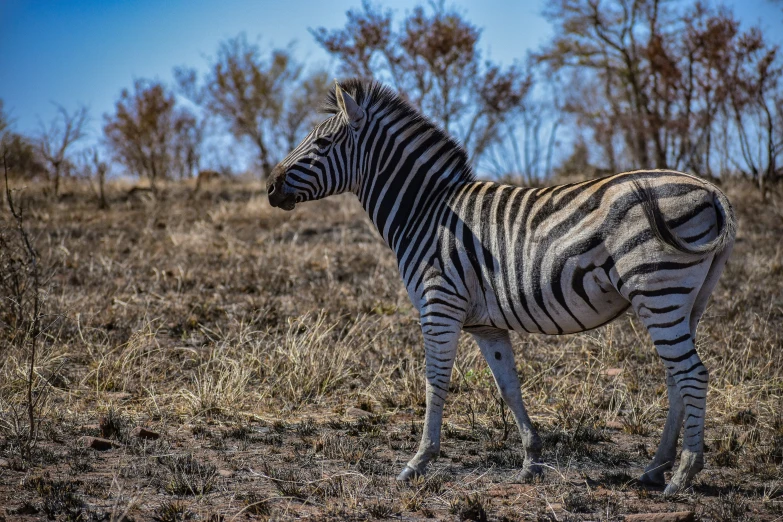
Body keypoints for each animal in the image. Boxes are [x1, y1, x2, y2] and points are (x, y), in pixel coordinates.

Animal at [268, 77, 736, 492]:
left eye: (322, 145)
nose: (270, 187)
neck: (425, 211)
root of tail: (709, 188)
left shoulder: (439, 304)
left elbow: (434, 382)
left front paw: (418, 462)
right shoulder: (485, 324)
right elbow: (508, 386)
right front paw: (531, 462)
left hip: (658, 289)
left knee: (692, 373)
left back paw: (682, 475)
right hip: (685, 300)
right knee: (676, 377)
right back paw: (655, 469)